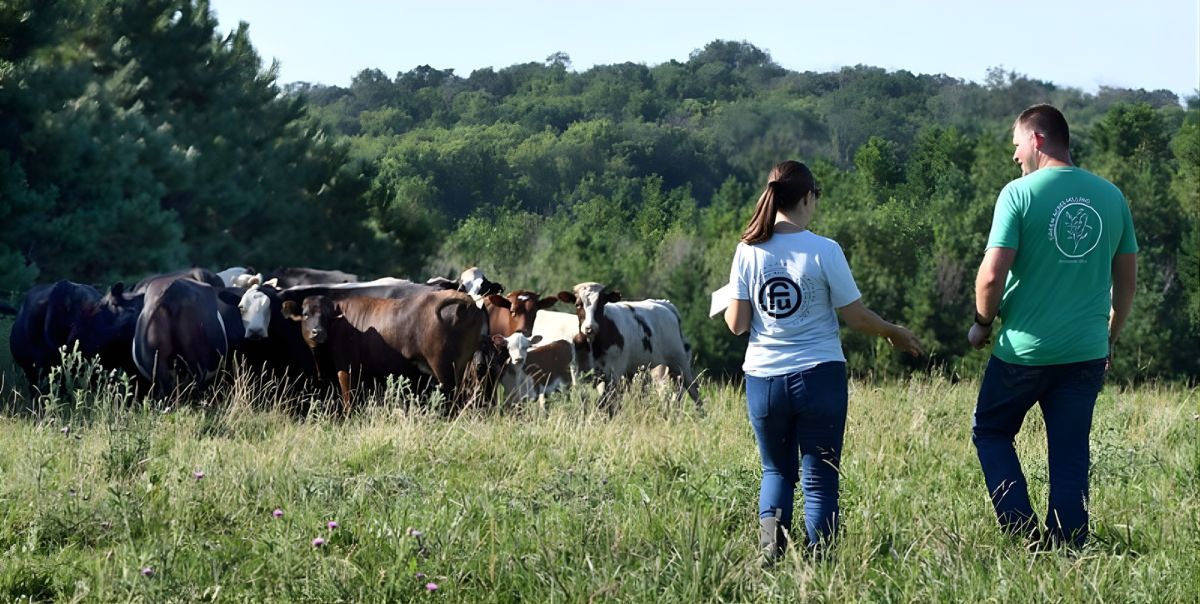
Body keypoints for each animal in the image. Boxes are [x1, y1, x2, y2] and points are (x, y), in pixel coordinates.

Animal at [281, 290, 486, 412]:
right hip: (460, 367)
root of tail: (465, 300)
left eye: (327, 316)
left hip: (444, 368)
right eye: (306, 314)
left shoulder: (347, 371)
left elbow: (349, 402)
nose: (318, 332)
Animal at [557, 282, 701, 407]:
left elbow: (608, 402)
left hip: (680, 363)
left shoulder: (613, 372)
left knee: (694, 392)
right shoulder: (578, 374)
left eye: (601, 303)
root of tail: (665, 304)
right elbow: (584, 400)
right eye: (578, 304)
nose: (590, 327)